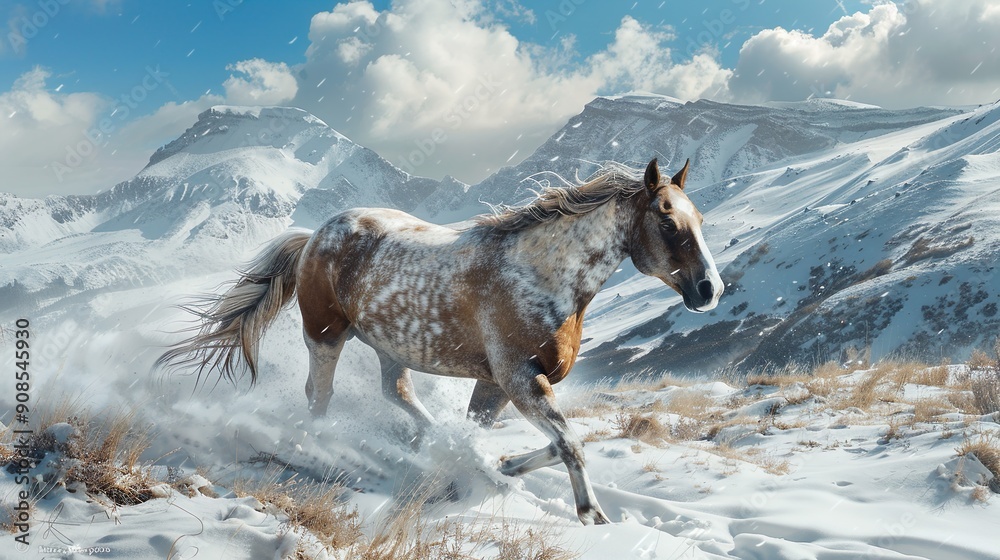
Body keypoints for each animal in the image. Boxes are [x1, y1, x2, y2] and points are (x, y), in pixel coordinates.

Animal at [157, 158, 723, 525]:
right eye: (667, 220)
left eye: (699, 219)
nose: (709, 289)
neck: (542, 277)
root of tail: (315, 235)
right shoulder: (519, 379)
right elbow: (569, 442)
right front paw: (591, 515)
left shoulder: (498, 384)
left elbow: (513, 437)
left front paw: (500, 466)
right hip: (325, 337)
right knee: (319, 397)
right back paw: (318, 449)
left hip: (391, 348)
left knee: (397, 393)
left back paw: (428, 443)